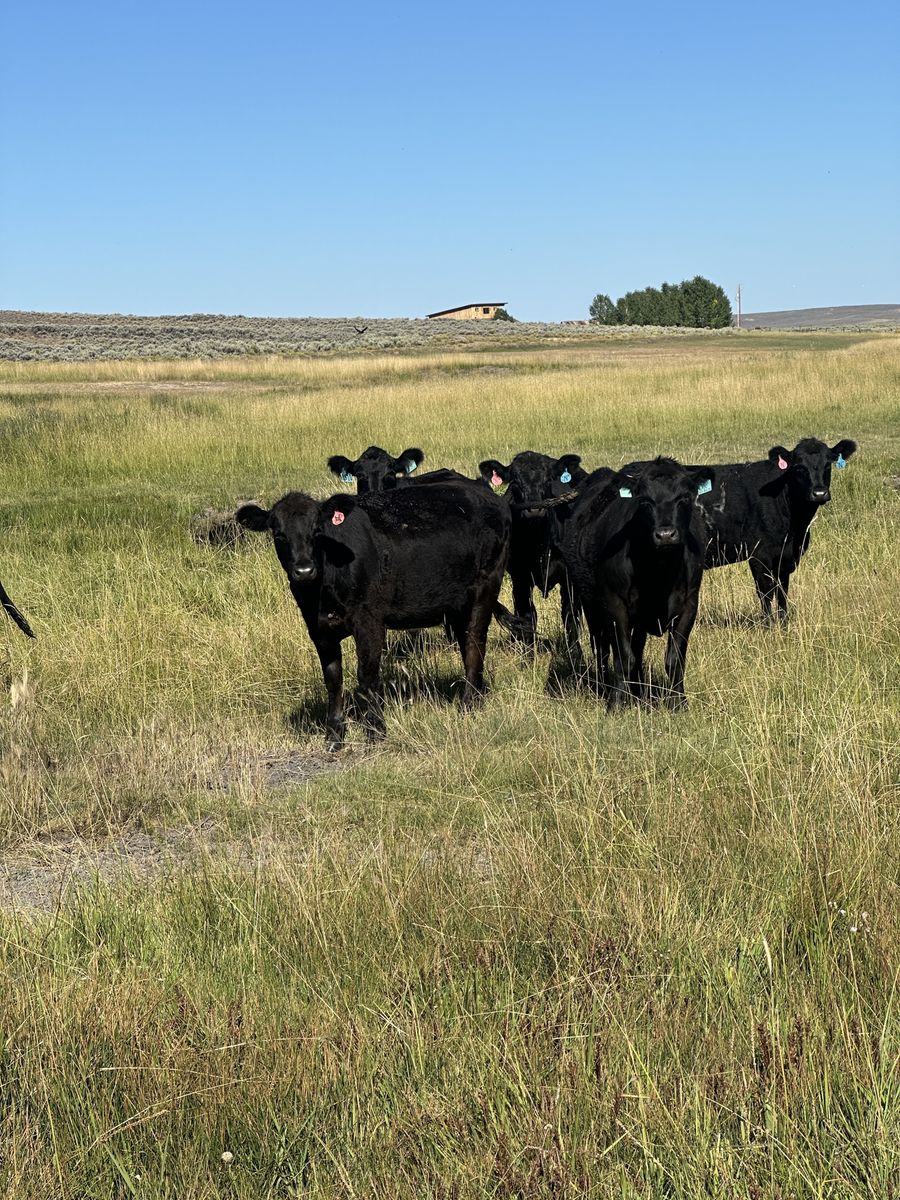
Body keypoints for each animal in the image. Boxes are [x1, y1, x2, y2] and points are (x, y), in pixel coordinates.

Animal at [236, 480, 511, 750]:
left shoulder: (369, 621)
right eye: (279, 534)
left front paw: (376, 731)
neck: (321, 592)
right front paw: (334, 735)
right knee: (466, 644)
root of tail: (484, 493)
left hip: (486, 585)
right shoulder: (318, 628)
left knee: (475, 643)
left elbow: (366, 675)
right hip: (456, 605)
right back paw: (475, 696)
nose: (304, 570)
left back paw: (468, 705)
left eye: (317, 531)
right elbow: (333, 678)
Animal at [477, 451, 586, 648]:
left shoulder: (570, 580)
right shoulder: (520, 578)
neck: (539, 543)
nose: (534, 510)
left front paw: (576, 654)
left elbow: (571, 619)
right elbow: (528, 617)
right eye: (515, 481)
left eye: (548, 479)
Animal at [562, 457, 713, 709]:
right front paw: (616, 703)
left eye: (684, 497)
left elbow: (674, 659)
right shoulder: (615, 605)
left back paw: (638, 691)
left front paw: (679, 703)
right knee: (601, 648)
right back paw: (607, 687)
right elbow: (623, 657)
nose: (665, 534)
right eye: (644, 500)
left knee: (637, 648)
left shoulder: (689, 605)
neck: (659, 573)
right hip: (590, 605)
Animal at [697, 438, 857, 622]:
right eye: (799, 467)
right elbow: (765, 592)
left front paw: (784, 621)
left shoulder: (785, 557)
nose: (819, 493)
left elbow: (782, 591)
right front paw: (768, 624)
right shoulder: (759, 555)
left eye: (828, 465)